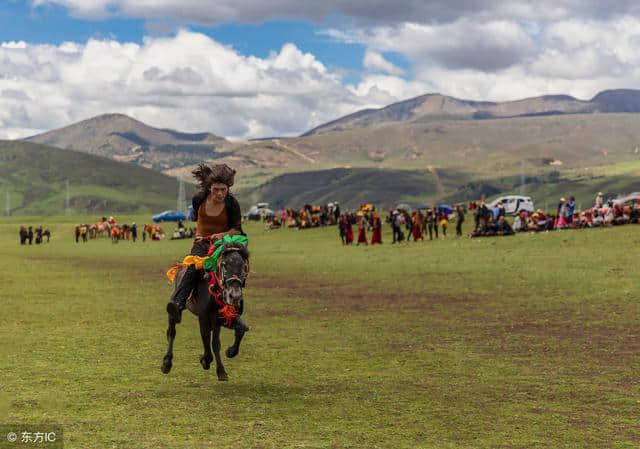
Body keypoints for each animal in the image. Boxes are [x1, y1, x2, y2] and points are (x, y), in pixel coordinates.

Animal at [160, 243, 250, 380]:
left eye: (244, 266)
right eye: (224, 264)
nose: (234, 296)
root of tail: (180, 266)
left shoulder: (221, 318)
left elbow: (235, 333)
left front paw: (229, 354)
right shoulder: (203, 317)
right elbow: (207, 338)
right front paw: (206, 360)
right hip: (174, 308)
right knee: (171, 331)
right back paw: (167, 363)